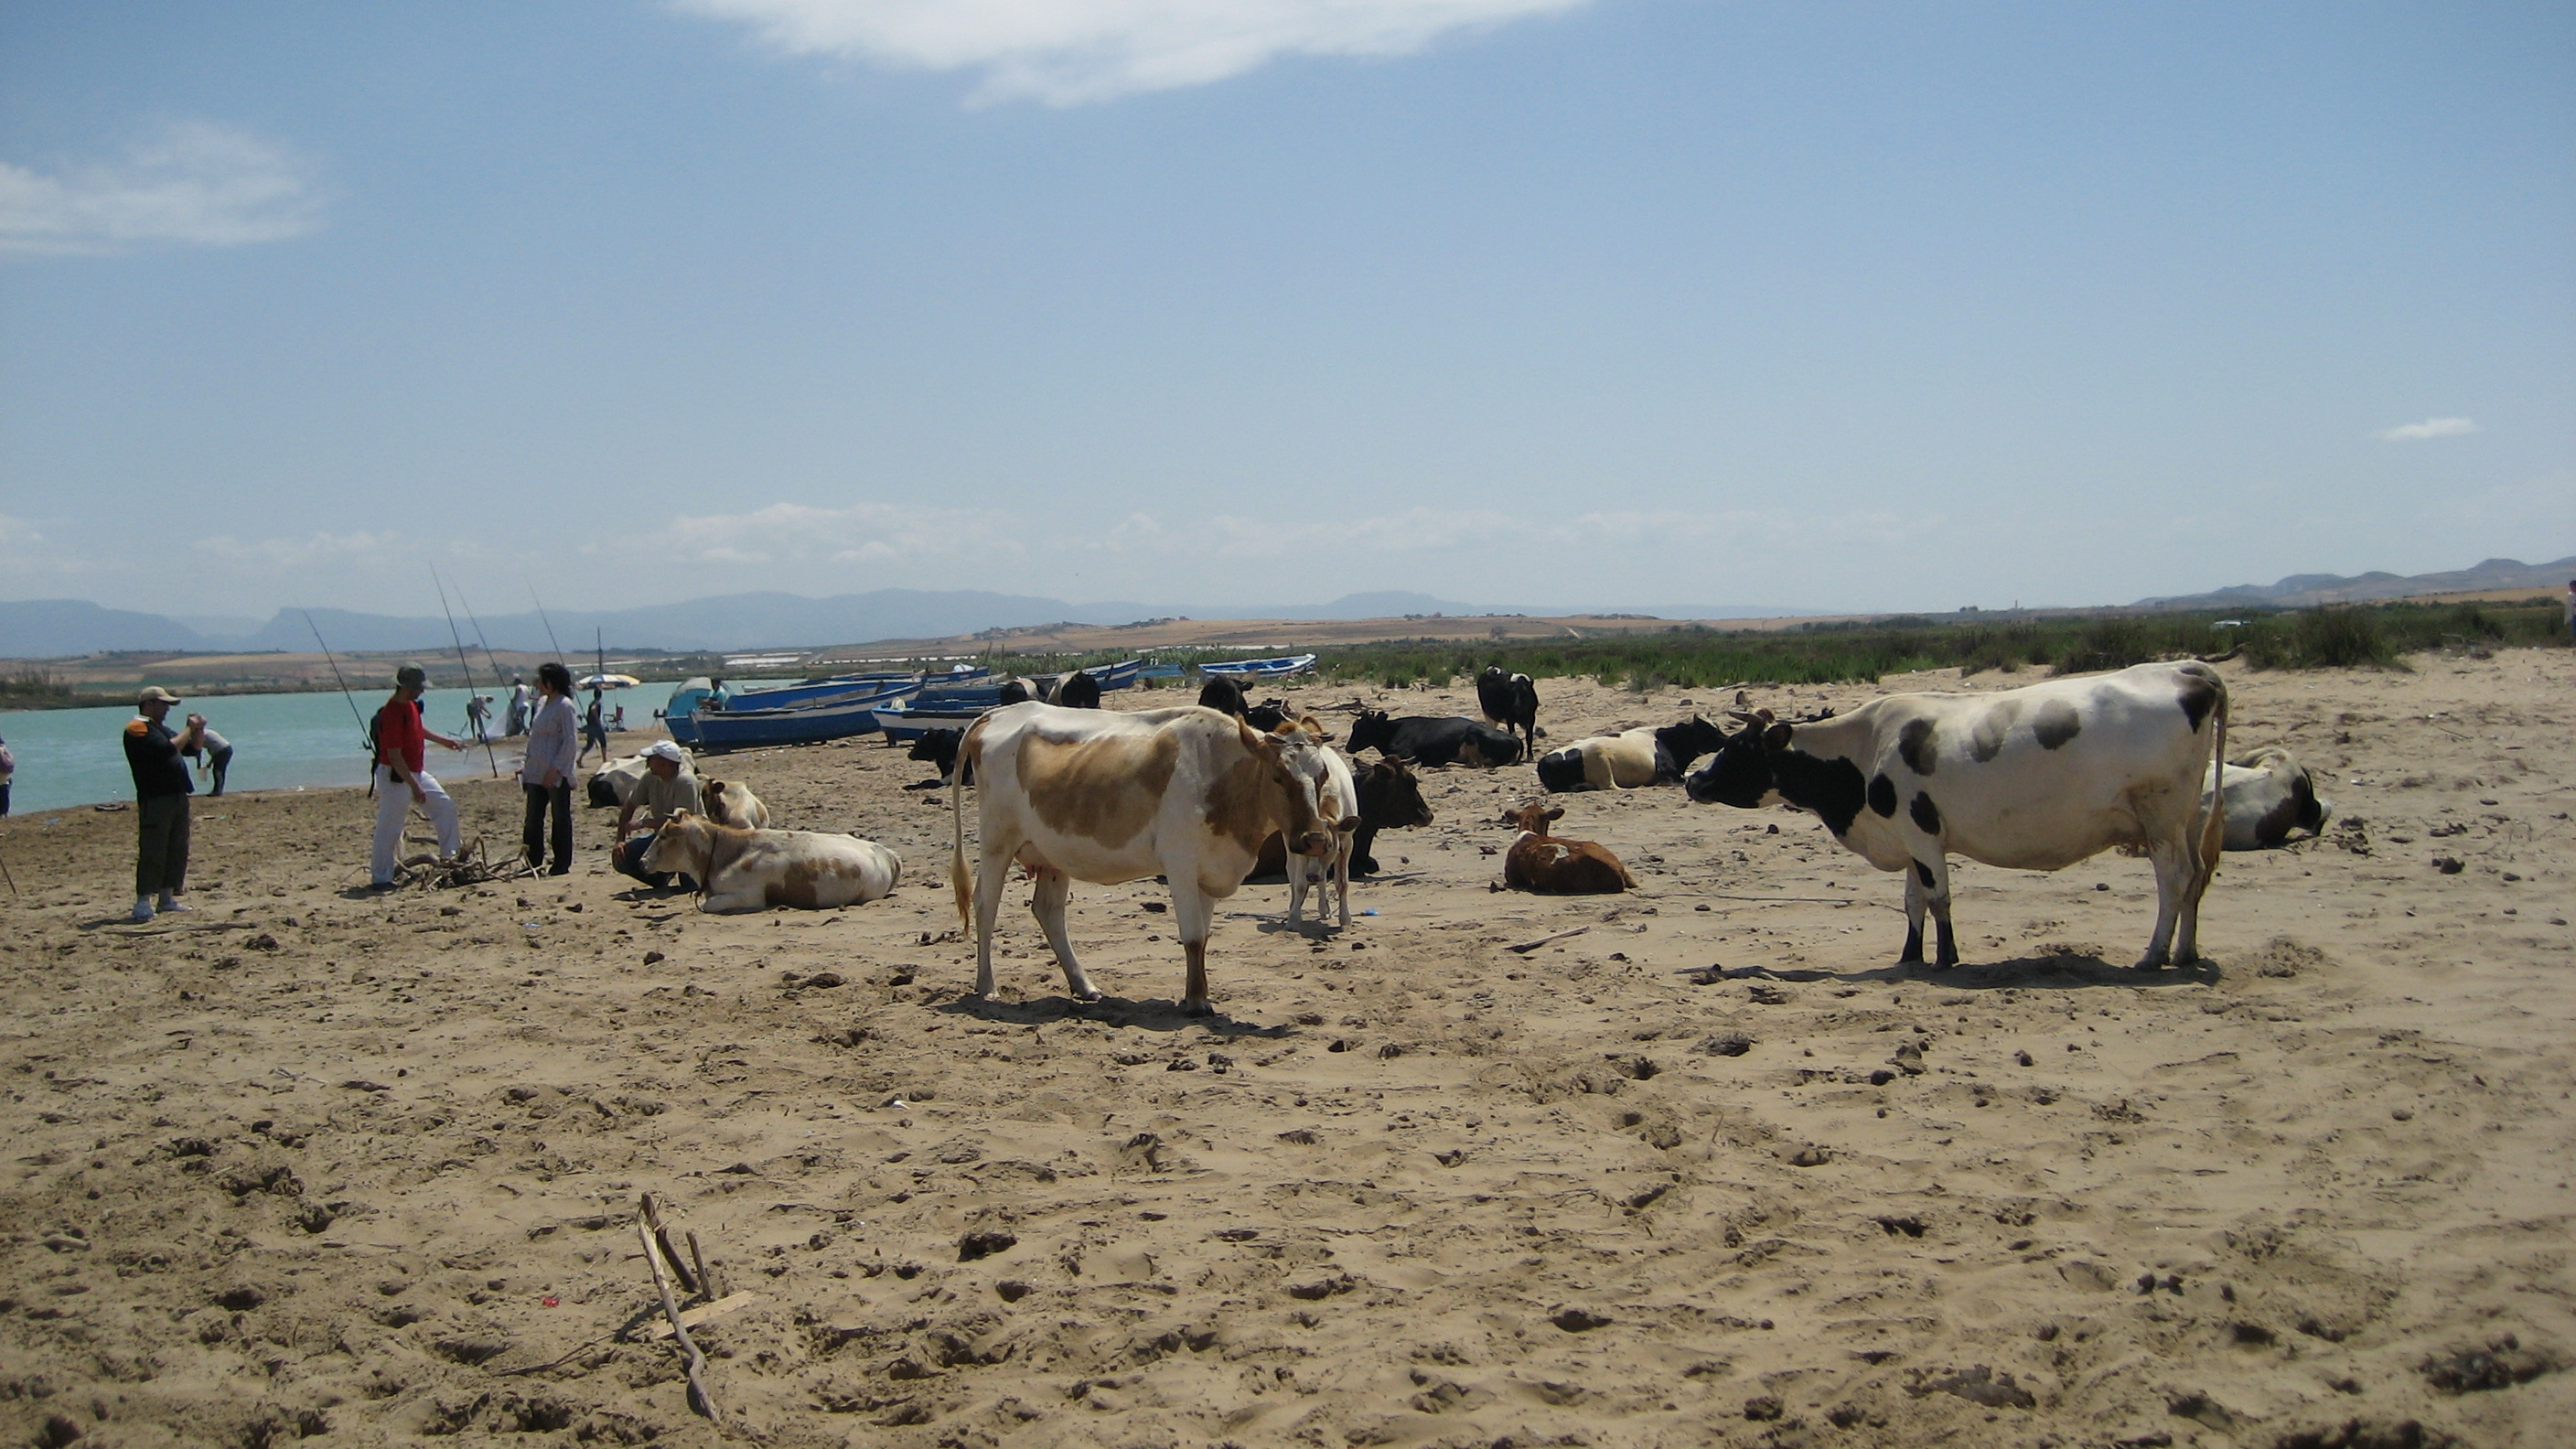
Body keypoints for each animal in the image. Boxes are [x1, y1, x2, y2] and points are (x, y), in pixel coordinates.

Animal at [950, 702, 1344, 1015]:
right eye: (1278, 776)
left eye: (1322, 775)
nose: (1315, 839)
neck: (1219, 775)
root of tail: (1000, 712)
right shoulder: (1180, 866)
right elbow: (1193, 937)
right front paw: (1196, 1002)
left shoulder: (1209, 872)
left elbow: (1203, 938)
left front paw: (1197, 995)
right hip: (996, 842)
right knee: (986, 904)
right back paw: (987, 985)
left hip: (1052, 854)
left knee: (1048, 910)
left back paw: (1084, 986)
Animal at [1347, 710, 1520, 768]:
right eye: (1354, 726)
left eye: (1365, 727)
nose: (1348, 747)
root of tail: (1515, 740)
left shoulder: (1405, 751)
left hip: (1472, 734)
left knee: (1476, 764)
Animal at [1534, 716, 1729, 793]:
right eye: (1707, 730)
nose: (1728, 739)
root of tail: (1543, 761)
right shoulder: (1666, 771)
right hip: (1599, 756)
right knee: (1611, 786)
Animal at [1684, 661, 2229, 970]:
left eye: (1738, 749)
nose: (1693, 779)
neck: (1865, 748)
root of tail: (2187, 672)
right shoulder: (1908, 842)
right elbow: (1913, 903)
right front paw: (1910, 956)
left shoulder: (1925, 836)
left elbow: (1938, 899)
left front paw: (1946, 958)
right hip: (2185, 819)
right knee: (2197, 876)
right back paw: (2185, 953)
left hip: (2160, 819)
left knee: (2174, 879)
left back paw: (2154, 955)